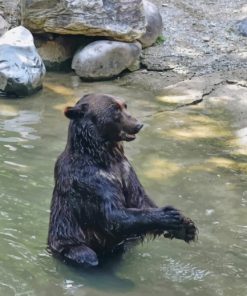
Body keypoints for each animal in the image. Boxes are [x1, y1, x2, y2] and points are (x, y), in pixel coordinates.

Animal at [47, 93, 196, 268]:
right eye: (114, 109)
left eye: (125, 105)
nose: (138, 124)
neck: (104, 156)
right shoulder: (88, 180)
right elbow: (113, 216)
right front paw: (169, 215)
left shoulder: (125, 170)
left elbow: (139, 200)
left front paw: (187, 227)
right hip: (67, 242)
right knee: (86, 254)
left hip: (126, 242)